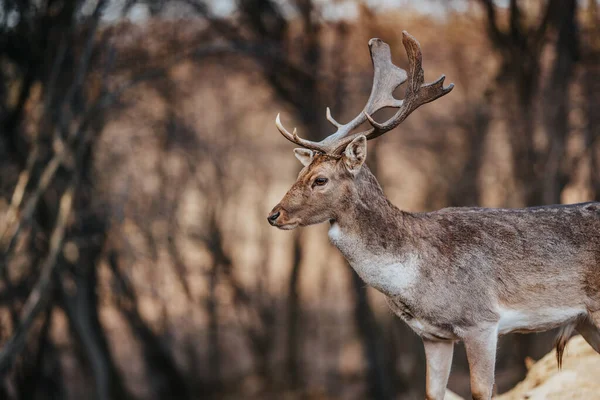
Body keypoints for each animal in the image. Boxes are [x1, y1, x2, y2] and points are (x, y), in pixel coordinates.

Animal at [266, 32, 600, 400]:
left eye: (320, 179)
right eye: (301, 172)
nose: (274, 214)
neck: (416, 272)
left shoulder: (481, 320)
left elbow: (481, 391)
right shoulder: (432, 335)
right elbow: (431, 392)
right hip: (586, 321)